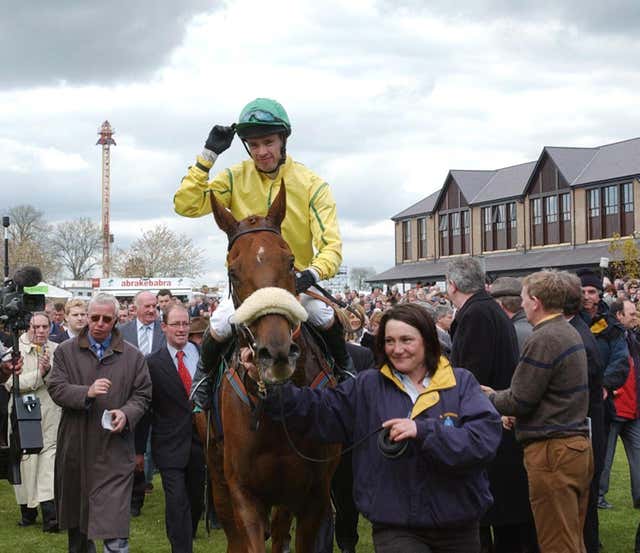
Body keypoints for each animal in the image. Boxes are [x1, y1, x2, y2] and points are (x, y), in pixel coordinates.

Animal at [196, 182, 340, 552]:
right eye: (232, 271)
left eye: (290, 263)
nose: (275, 353)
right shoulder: (244, 493)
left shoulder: (313, 495)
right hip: (216, 471)